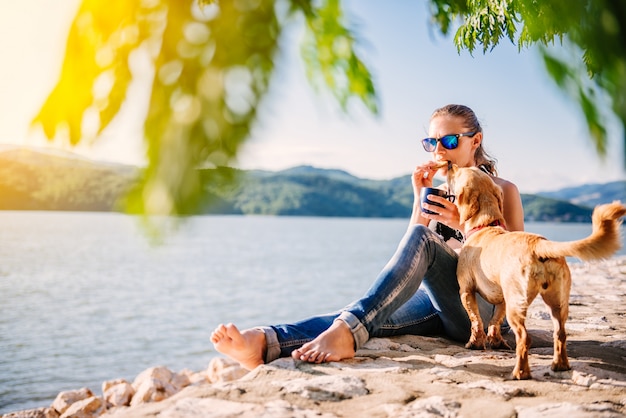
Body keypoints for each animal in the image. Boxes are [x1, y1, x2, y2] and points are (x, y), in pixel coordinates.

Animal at [448, 166, 624, 378]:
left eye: (460, 174)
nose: (452, 167)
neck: (486, 226)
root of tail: (539, 243)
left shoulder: (466, 291)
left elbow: (476, 321)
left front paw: (475, 343)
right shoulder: (503, 299)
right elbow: (494, 321)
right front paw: (496, 342)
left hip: (517, 306)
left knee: (525, 338)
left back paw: (520, 373)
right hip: (557, 303)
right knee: (560, 334)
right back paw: (560, 365)